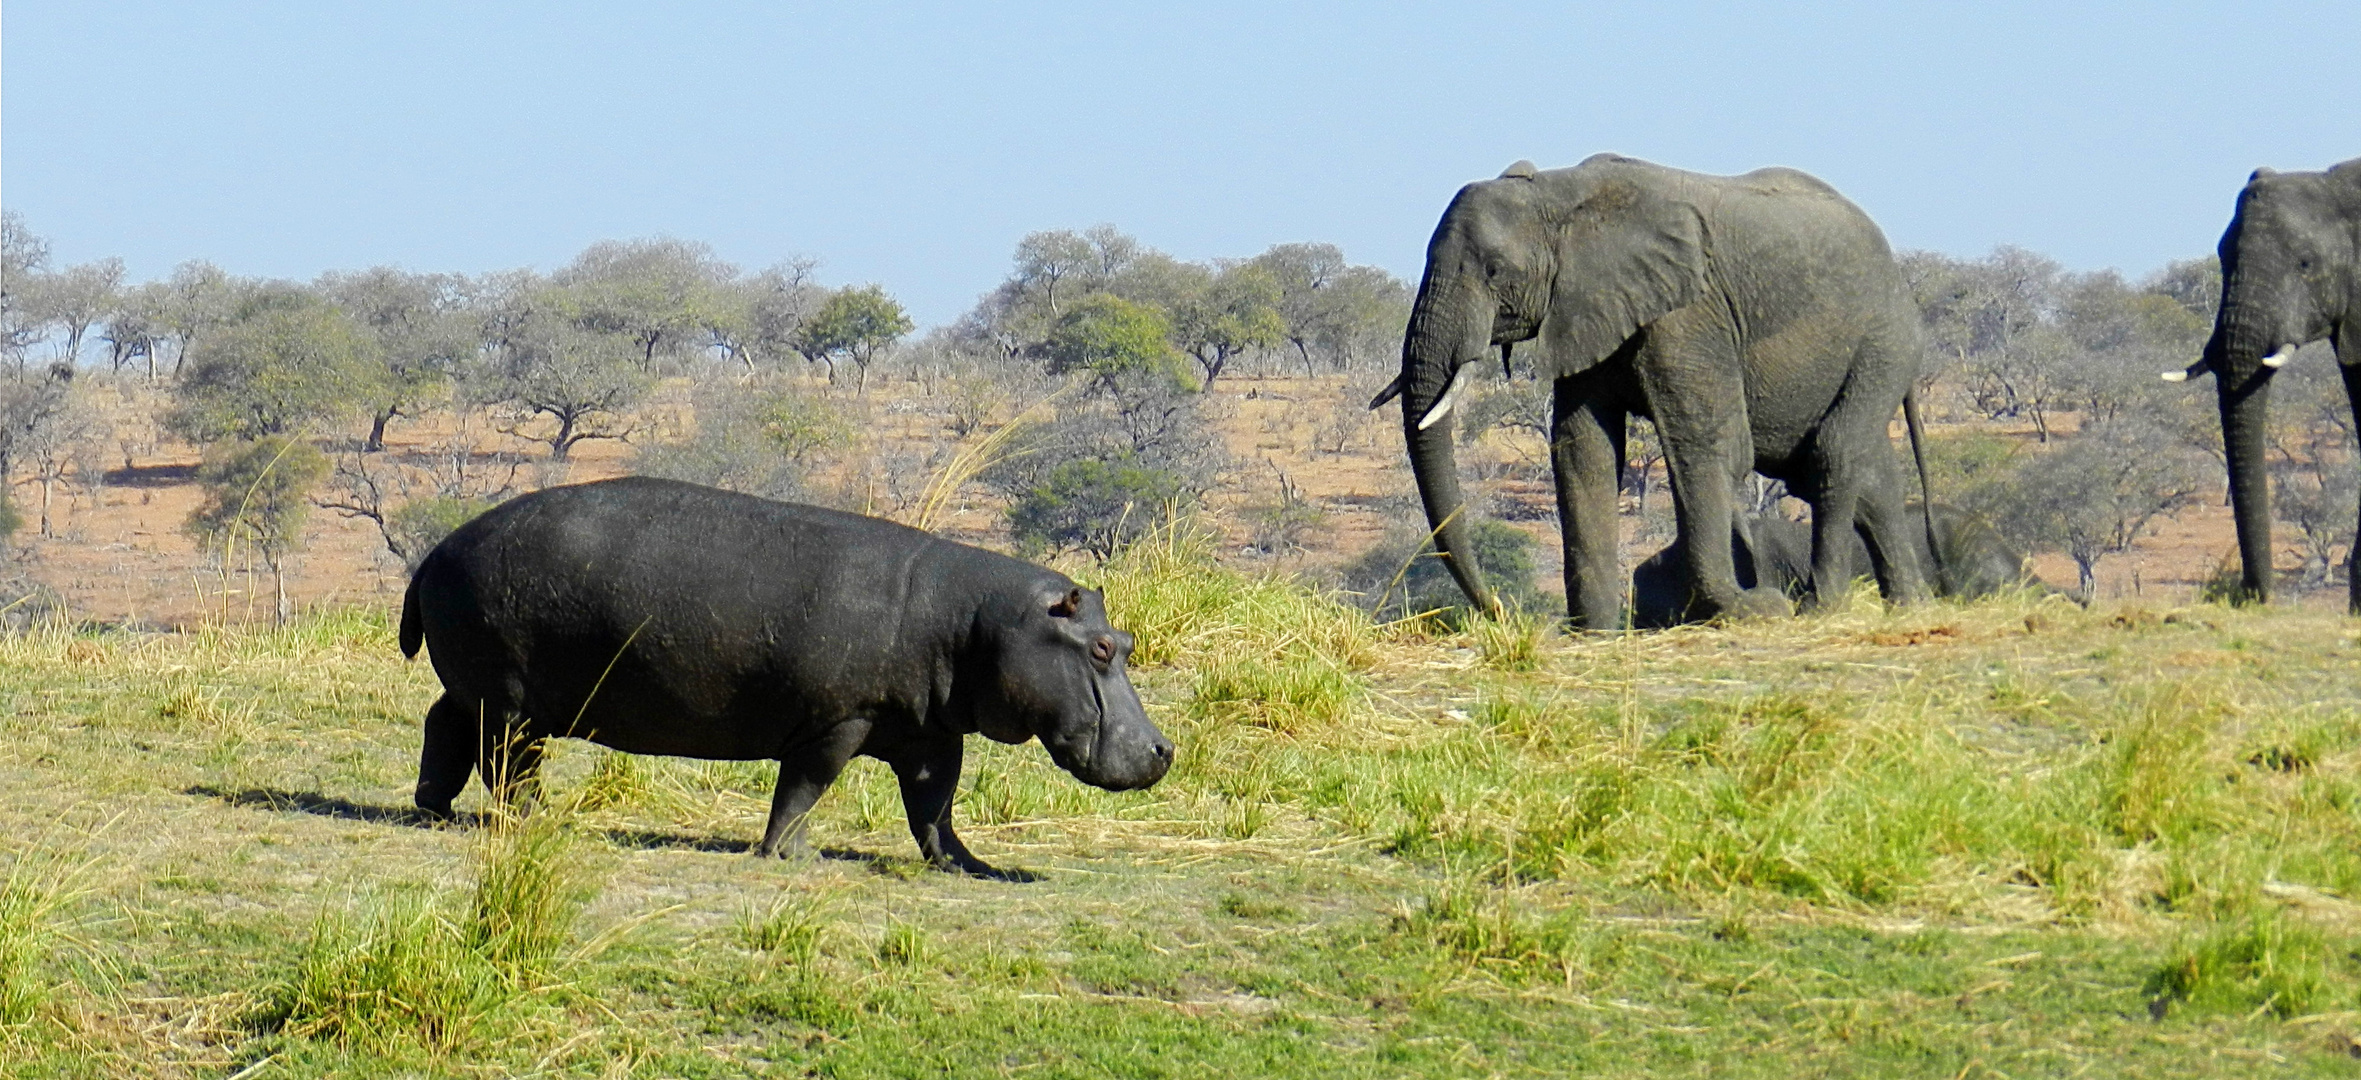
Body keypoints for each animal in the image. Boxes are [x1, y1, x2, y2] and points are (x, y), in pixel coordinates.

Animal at [413, 477, 1180, 874]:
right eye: (1100, 649)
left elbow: (935, 806)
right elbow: (806, 786)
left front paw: (973, 866)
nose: (1164, 748)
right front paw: (786, 855)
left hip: (482, 691)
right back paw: (537, 821)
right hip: (510, 700)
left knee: (442, 724)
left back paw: (436, 809)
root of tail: (433, 552)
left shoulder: (931, 732)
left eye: (1127, 641)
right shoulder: (837, 721)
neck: (976, 621)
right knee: (508, 761)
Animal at [1369, 159, 1936, 633]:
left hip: (1885, 343)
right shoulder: (1585, 308)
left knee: (1833, 455)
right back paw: (1911, 607)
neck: (1563, 194)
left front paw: (1749, 610)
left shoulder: (1689, 312)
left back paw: (1824, 607)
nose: (1499, 610)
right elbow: (1584, 452)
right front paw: (1595, 635)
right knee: (1862, 476)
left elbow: (1708, 444)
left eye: (1493, 269)